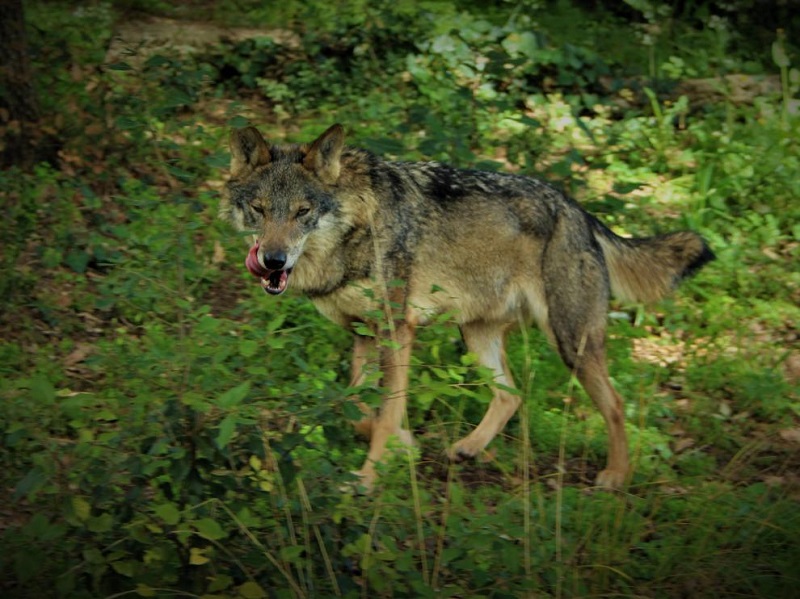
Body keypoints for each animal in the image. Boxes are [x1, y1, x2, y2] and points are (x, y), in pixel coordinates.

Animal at [219, 123, 712, 492]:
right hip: (477, 337)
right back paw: (468, 448)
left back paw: (615, 476)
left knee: (615, 403)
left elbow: (384, 412)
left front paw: (369, 477)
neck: (355, 227)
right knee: (512, 395)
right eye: (260, 209)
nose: (273, 260)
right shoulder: (364, 333)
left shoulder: (398, 331)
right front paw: (404, 443)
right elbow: (358, 407)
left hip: (571, 343)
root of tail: (579, 210)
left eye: (302, 212)